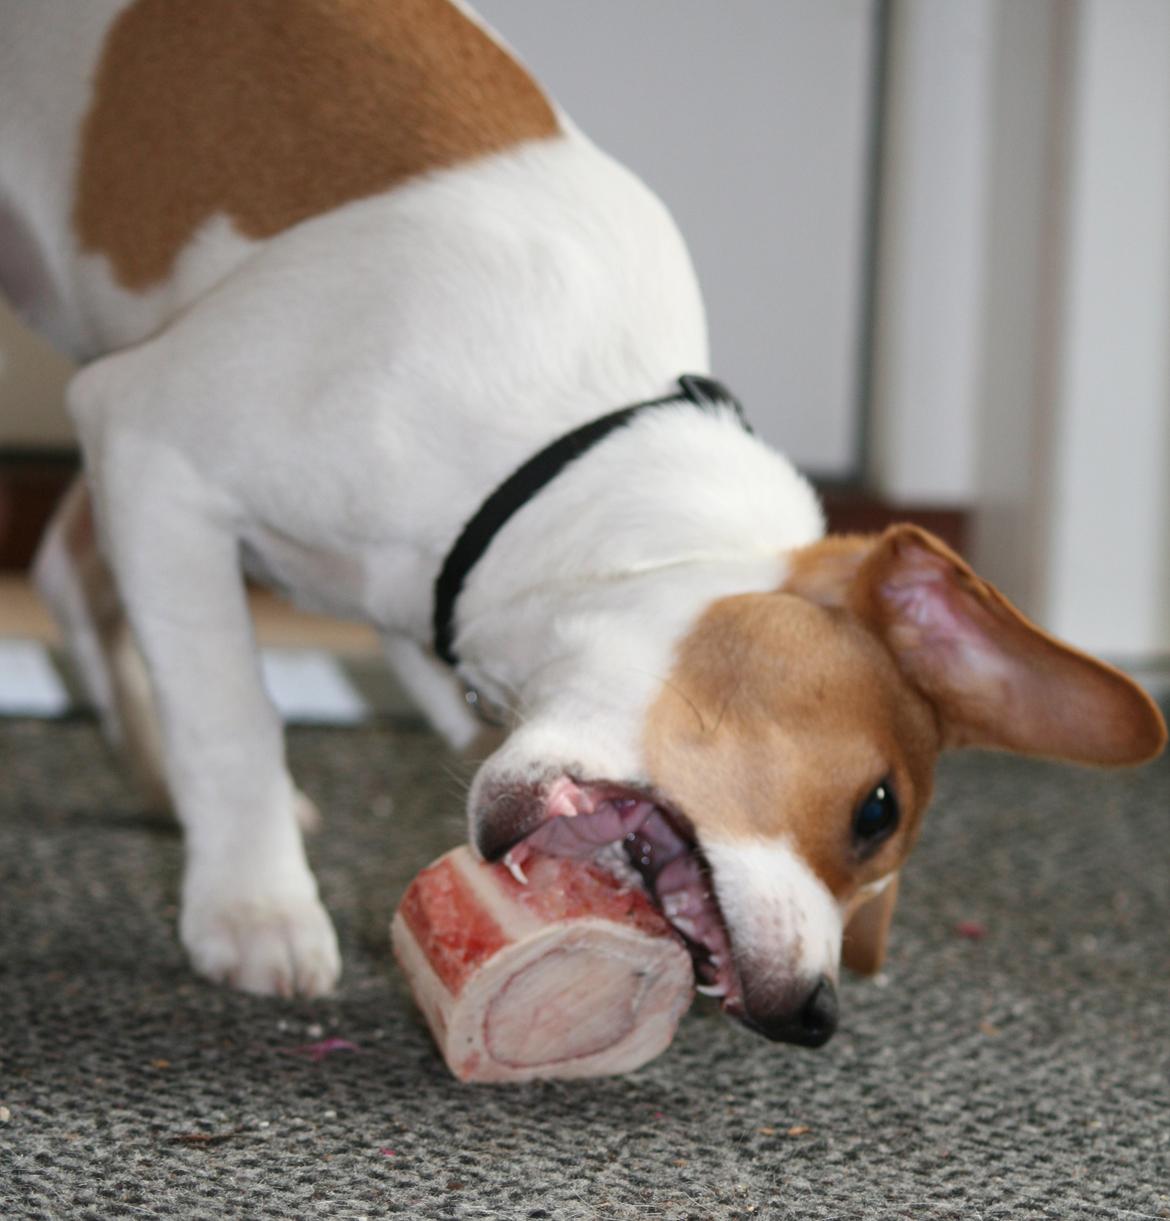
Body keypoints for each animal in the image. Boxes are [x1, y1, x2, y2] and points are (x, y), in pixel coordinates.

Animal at [4, 0, 1167, 1050]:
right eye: (875, 809)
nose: (813, 1018)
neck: (554, 448)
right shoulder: (150, 442)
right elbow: (231, 713)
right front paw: (255, 909)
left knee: (68, 570)